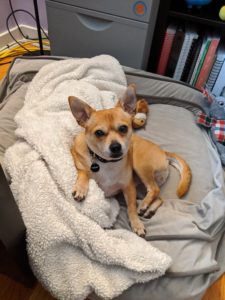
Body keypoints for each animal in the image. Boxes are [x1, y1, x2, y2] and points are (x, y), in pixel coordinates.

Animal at [69, 84, 192, 237]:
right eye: (99, 133)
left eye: (123, 128)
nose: (115, 147)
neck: (107, 163)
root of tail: (163, 151)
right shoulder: (77, 157)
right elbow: (84, 171)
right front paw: (81, 188)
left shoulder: (129, 188)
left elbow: (131, 208)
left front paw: (136, 223)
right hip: (140, 185)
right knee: (159, 197)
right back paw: (150, 209)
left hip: (140, 167)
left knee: (154, 189)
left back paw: (144, 205)